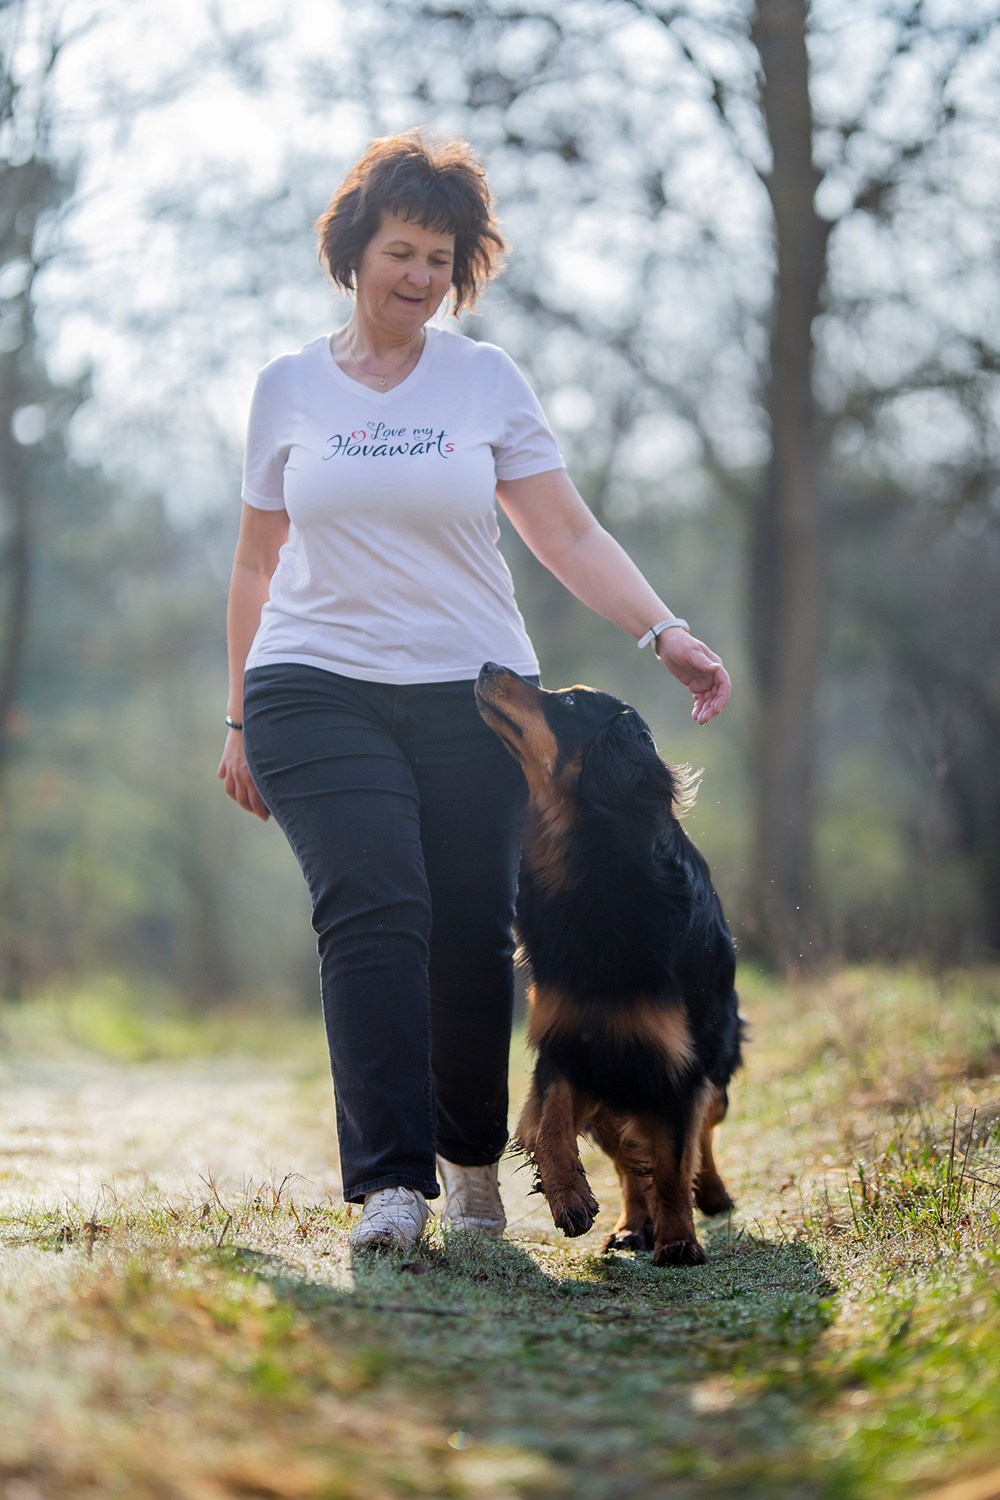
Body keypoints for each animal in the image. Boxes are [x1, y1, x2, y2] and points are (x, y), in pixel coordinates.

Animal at [475, 662, 743, 1267]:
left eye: (570, 704)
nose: (486, 666)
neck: (593, 871)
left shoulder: (677, 1066)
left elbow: (674, 1159)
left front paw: (679, 1239)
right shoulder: (567, 1042)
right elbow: (548, 1124)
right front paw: (569, 1196)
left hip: (716, 1058)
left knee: (702, 1132)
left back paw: (710, 1194)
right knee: (627, 1159)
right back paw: (631, 1224)